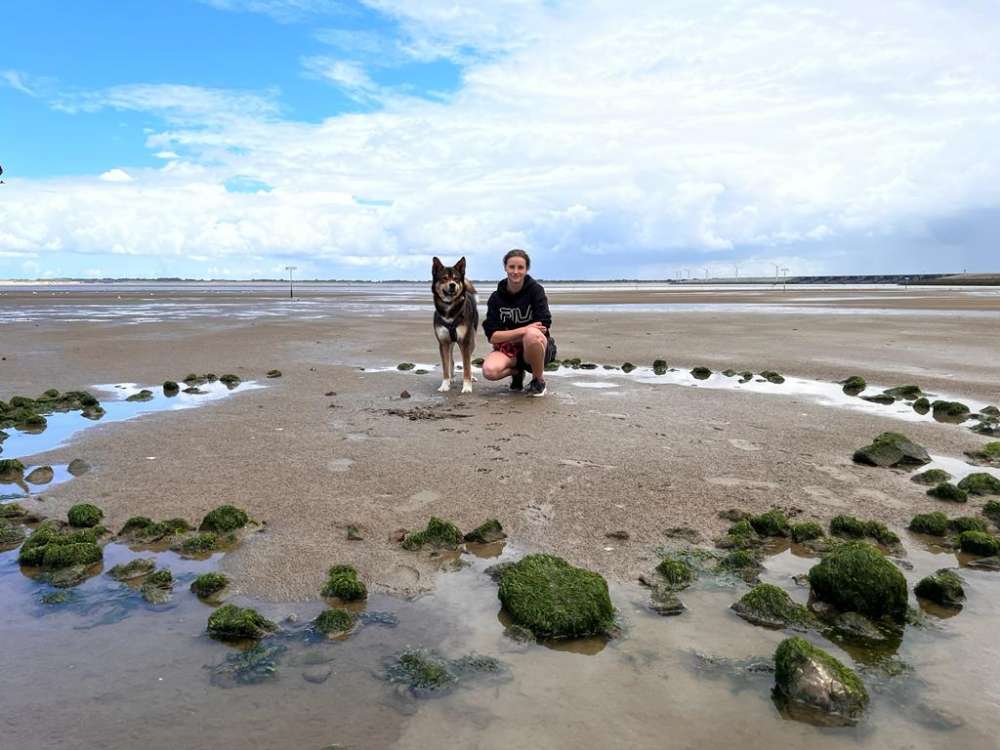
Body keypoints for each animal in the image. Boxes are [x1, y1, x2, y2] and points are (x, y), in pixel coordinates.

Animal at [432, 258, 478, 396]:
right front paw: (445, 384)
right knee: (451, 360)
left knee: (469, 359)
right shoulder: (443, 343)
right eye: (444, 278)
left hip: (472, 340)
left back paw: (472, 377)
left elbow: (467, 366)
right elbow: (445, 366)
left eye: (456, 279)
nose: (452, 285)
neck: (450, 309)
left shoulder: (466, 341)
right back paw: (452, 378)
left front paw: (467, 387)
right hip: (451, 342)